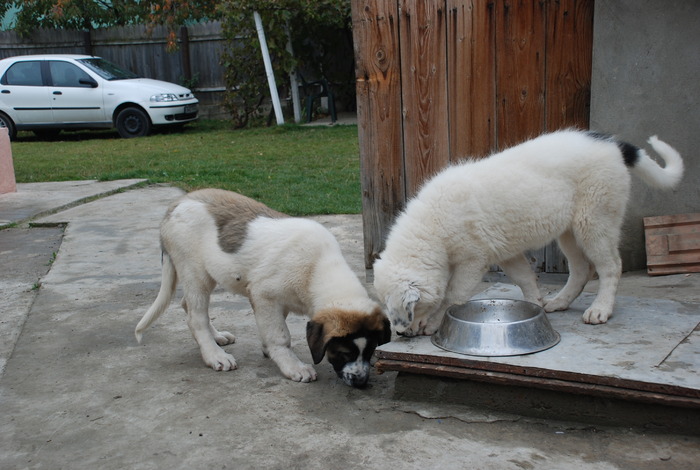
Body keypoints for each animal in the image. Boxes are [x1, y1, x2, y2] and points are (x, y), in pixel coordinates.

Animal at [134, 189, 392, 388]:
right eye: (345, 352)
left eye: (370, 351)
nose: (361, 382)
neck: (317, 269)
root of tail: (176, 204)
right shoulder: (264, 294)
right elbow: (280, 335)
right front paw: (292, 365)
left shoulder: (278, 301)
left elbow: (273, 328)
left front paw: (269, 350)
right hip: (194, 271)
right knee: (196, 316)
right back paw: (214, 355)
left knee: (188, 304)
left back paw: (217, 337)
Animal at [374, 126, 688, 336]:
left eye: (405, 311)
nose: (400, 334)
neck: (432, 229)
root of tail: (613, 145)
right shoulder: (504, 252)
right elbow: (524, 277)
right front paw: (534, 302)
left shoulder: (473, 259)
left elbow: (454, 294)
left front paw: (434, 322)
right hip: (569, 230)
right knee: (582, 269)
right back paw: (558, 302)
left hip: (595, 220)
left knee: (610, 266)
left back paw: (600, 309)